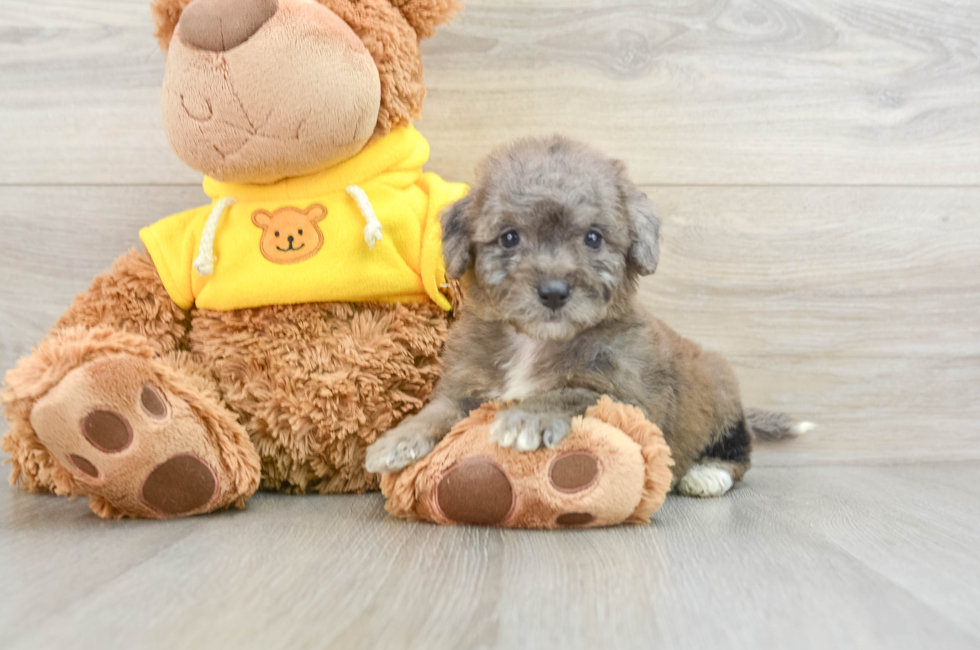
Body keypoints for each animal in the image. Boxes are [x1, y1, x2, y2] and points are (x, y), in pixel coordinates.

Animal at [364, 134, 808, 494]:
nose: (554, 291)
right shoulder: (465, 385)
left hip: (719, 397)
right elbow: (438, 410)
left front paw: (528, 416)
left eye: (593, 238)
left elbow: (573, 391)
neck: (535, 342)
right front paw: (396, 441)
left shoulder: (631, 396)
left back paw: (707, 474)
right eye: (509, 238)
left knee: (739, 451)